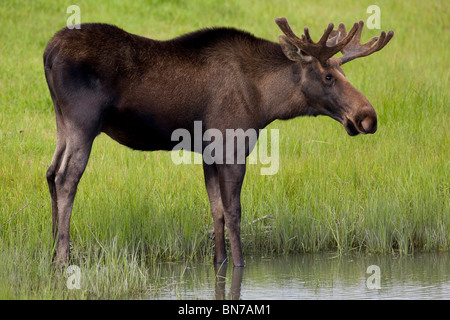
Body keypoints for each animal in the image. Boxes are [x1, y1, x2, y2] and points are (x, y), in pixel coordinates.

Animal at [44, 17, 392, 268]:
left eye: (343, 73)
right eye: (328, 77)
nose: (367, 117)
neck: (267, 101)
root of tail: (48, 52)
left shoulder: (209, 152)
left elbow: (216, 211)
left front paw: (220, 261)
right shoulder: (233, 145)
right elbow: (234, 212)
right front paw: (239, 264)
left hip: (62, 122)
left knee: (49, 172)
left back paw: (51, 251)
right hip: (83, 121)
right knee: (66, 178)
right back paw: (62, 258)